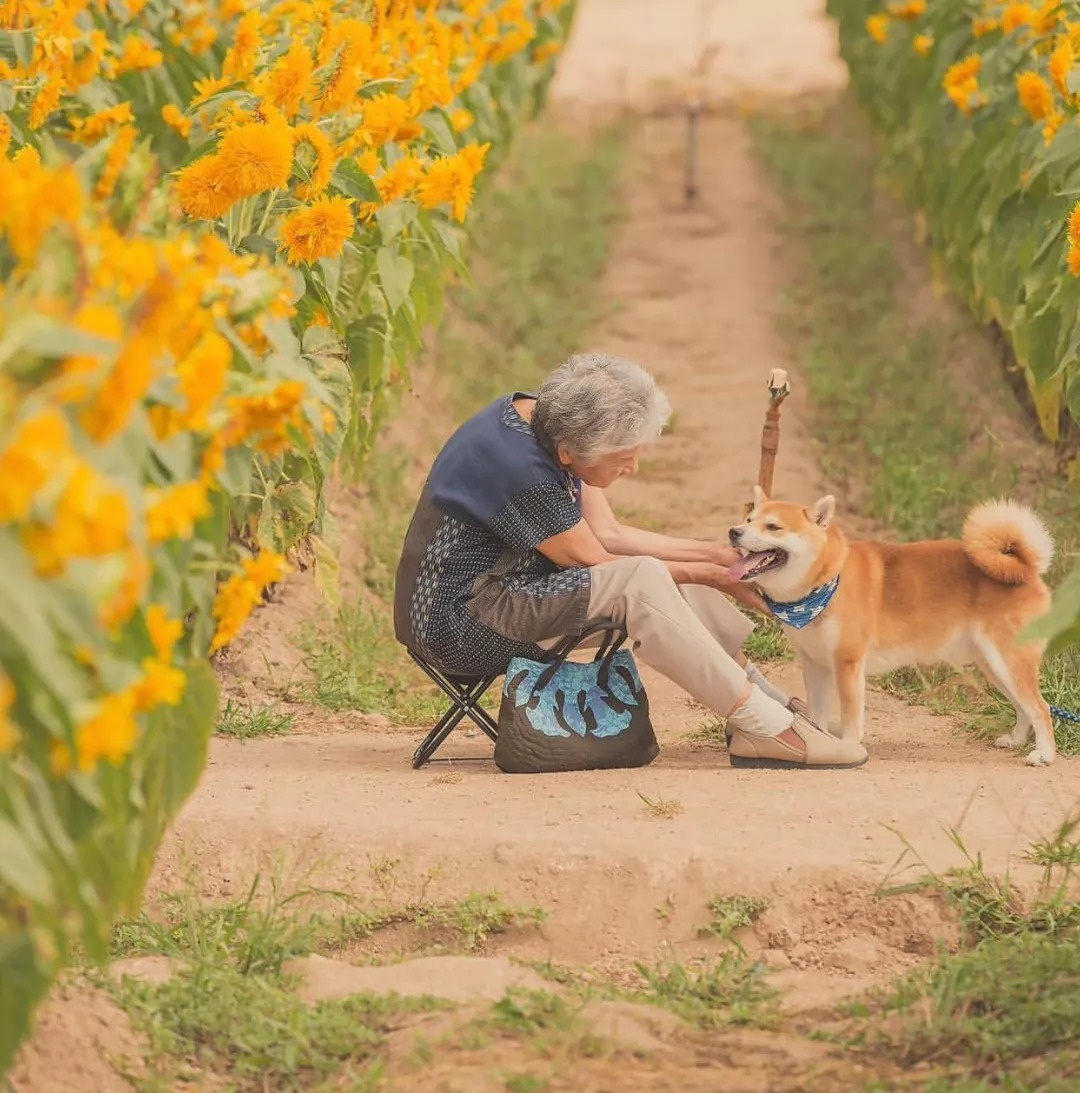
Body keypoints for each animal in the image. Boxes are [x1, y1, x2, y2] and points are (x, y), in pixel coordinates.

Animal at [725, 491, 1053, 765]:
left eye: (773, 527)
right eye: (749, 519)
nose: (734, 532)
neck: (825, 581)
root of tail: (1025, 569)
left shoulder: (847, 664)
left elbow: (851, 717)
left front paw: (849, 746)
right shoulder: (815, 664)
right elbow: (816, 716)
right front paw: (821, 741)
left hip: (1008, 662)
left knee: (1041, 708)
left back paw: (1044, 755)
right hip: (994, 666)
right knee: (1024, 707)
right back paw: (1016, 740)